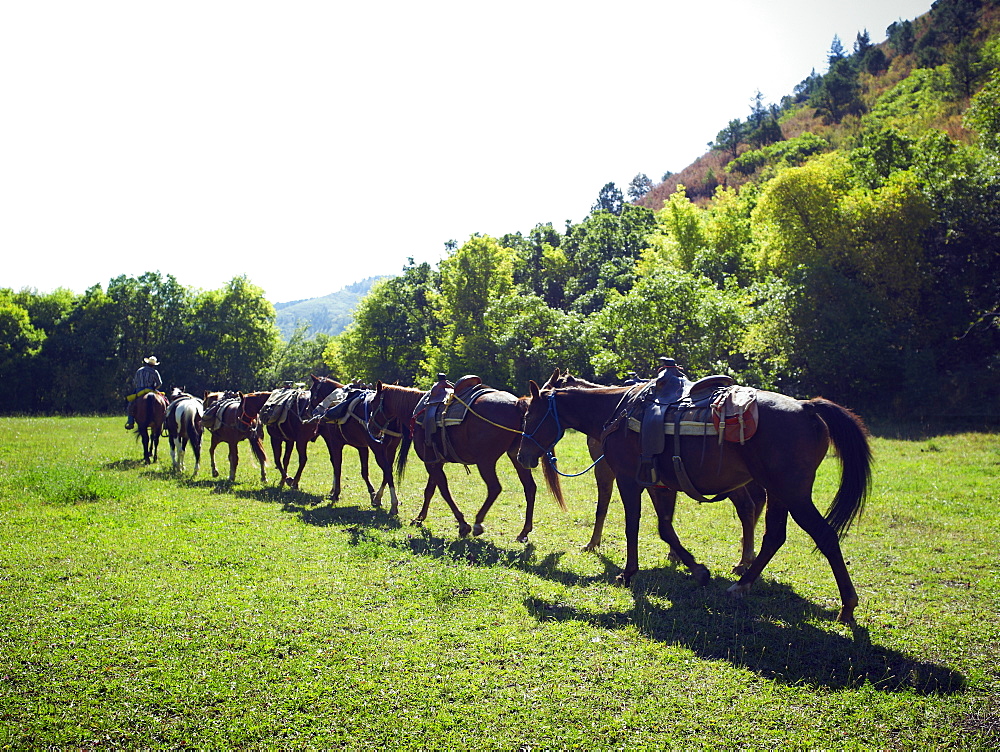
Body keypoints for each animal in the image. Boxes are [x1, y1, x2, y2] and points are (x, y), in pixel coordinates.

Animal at [312, 374, 406, 516]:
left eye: (312, 392)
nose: (309, 409)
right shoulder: (363, 447)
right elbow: (364, 471)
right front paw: (372, 494)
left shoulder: (335, 442)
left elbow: (337, 466)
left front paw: (336, 493)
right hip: (390, 449)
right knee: (387, 470)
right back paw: (378, 498)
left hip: (378, 449)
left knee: (387, 470)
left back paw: (393, 504)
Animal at [370, 382, 564, 540]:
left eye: (372, 403)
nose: (371, 427)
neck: (417, 411)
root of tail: (517, 404)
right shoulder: (435, 461)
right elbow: (429, 491)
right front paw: (419, 518)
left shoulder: (430, 463)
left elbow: (444, 491)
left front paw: (463, 525)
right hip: (519, 456)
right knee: (530, 488)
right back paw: (524, 531)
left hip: (486, 461)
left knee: (495, 488)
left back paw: (478, 523)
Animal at [548, 368, 764, 572]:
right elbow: (664, 515)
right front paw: (675, 554)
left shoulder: (605, 471)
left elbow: (602, 508)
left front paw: (592, 544)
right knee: (756, 502)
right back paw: (747, 552)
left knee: (747, 507)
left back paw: (744, 560)